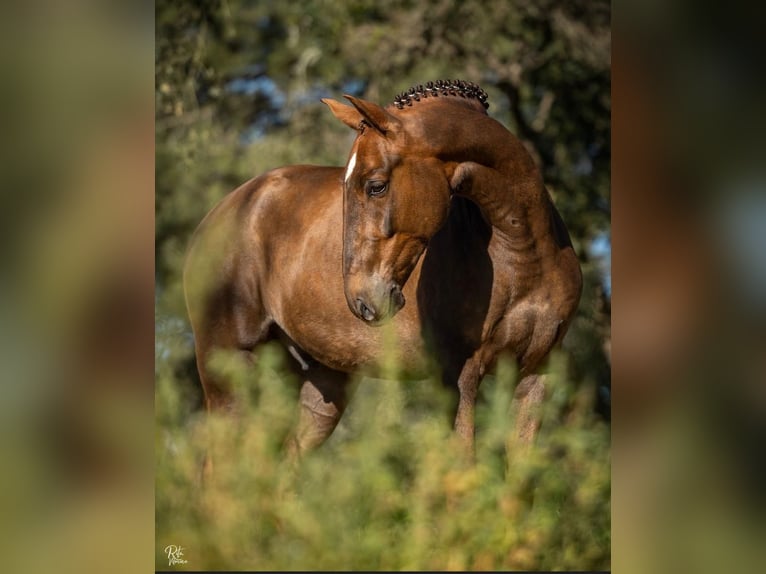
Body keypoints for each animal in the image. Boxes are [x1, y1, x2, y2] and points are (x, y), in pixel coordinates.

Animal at [184, 79, 584, 464]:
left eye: (375, 185)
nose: (362, 301)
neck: (522, 252)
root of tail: (219, 215)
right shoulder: (460, 377)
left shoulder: (536, 375)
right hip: (228, 371)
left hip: (321, 386)